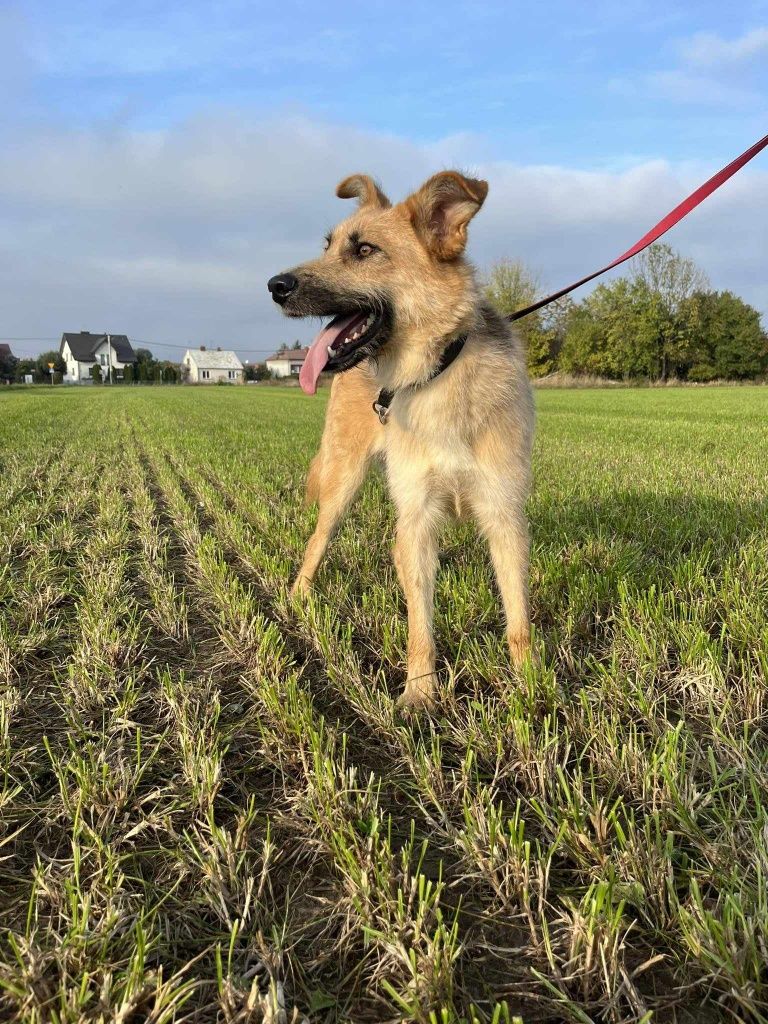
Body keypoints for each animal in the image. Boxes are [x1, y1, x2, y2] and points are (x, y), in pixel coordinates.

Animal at [268, 172, 536, 708]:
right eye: (328, 246)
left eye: (364, 250)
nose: (274, 286)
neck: (436, 373)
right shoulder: (416, 513)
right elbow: (420, 625)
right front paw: (420, 692)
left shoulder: (503, 513)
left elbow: (517, 615)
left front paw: (532, 685)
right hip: (343, 481)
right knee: (318, 540)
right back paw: (298, 597)